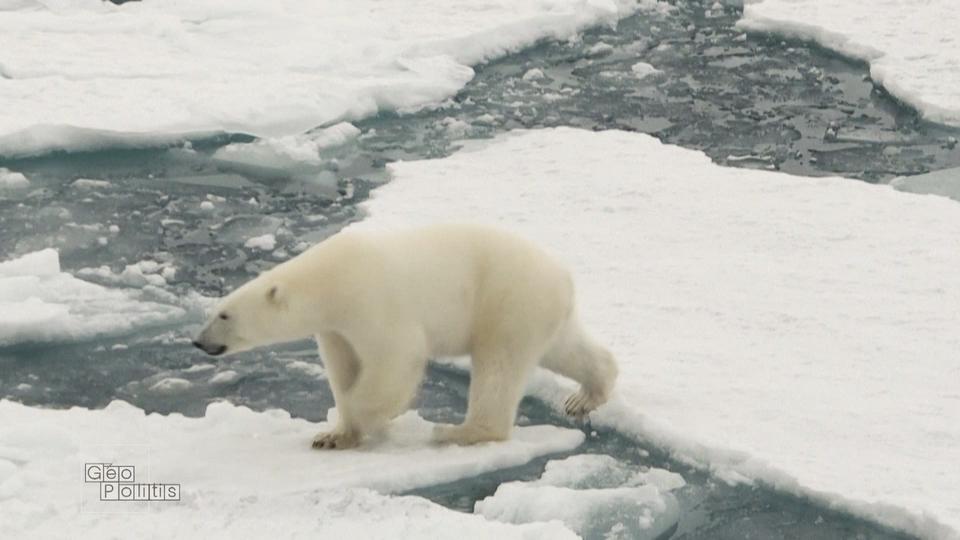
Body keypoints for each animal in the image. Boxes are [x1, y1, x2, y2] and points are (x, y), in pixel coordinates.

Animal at [192, 221, 620, 450]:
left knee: (498, 367)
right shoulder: (335, 328)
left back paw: (457, 430)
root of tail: (562, 276)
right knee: (566, 349)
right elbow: (344, 367)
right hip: (537, 310)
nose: (198, 341)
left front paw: (369, 415)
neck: (331, 279)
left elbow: (394, 359)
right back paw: (583, 397)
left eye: (224, 314)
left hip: (506, 300)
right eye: (212, 311)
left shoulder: (373, 301)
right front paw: (334, 436)